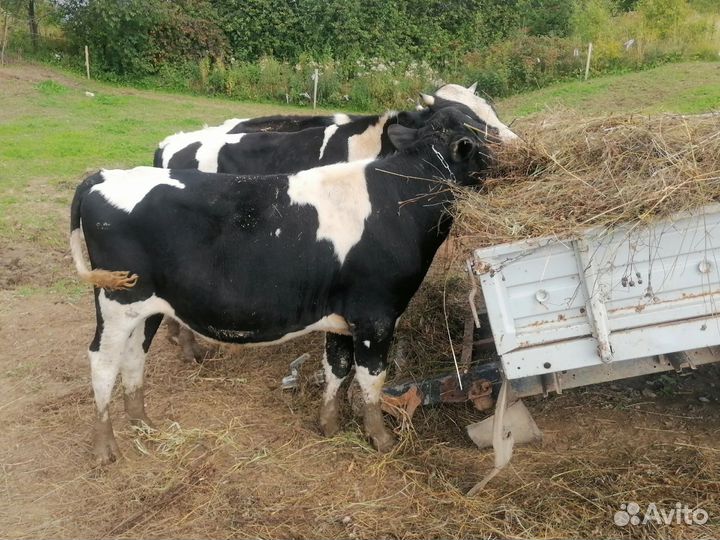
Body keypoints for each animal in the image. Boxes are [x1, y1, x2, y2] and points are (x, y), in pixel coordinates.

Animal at [71, 106, 496, 464]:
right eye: (484, 134)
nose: (513, 150)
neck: (398, 200)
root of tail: (106, 175)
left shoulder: (343, 316)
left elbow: (337, 368)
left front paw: (328, 424)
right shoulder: (376, 315)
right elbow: (372, 378)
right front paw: (382, 439)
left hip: (148, 308)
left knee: (134, 356)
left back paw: (142, 422)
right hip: (116, 302)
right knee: (102, 362)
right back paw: (105, 447)